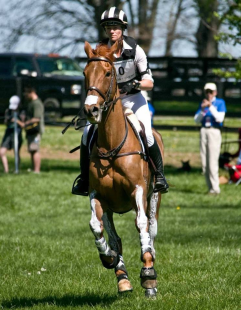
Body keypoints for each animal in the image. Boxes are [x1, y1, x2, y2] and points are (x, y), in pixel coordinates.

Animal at [82, 40, 164, 296]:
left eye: (108, 73)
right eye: (85, 73)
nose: (91, 110)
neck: (112, 146)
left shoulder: (138, 190)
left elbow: (142, 224)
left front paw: (148, 274)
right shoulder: (97, 195)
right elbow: (97, 227)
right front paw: (109, 258)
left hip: (154, 196)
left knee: (152, 227)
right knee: (114, 236)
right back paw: (122, 278)